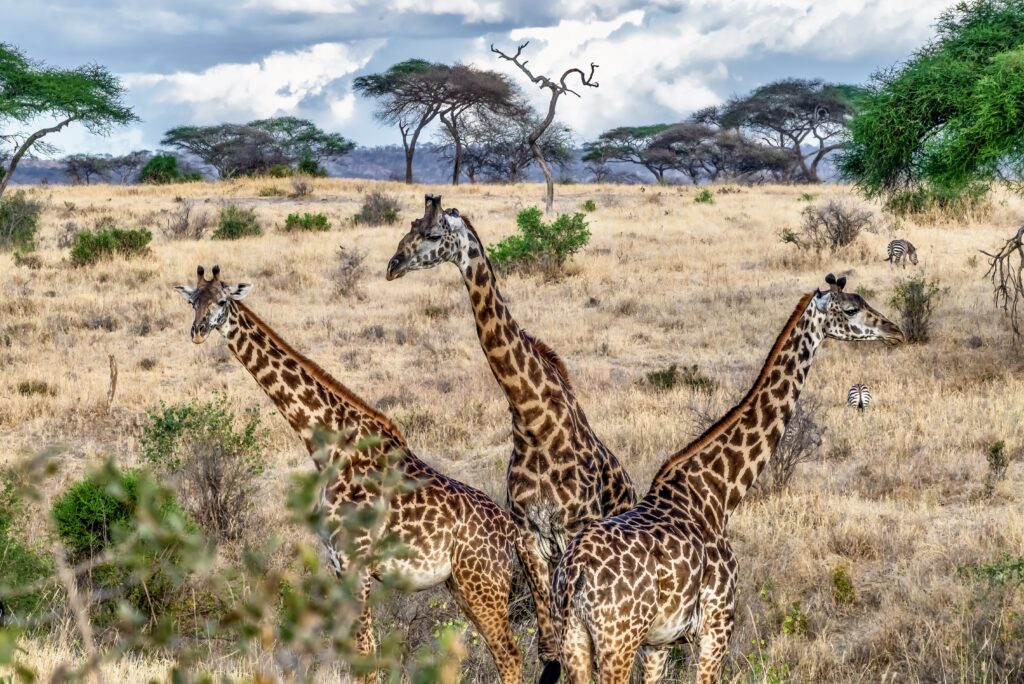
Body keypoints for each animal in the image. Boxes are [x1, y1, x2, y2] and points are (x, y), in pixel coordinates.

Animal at [174, 265, 522, 684]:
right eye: (193, 301)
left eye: (223, 301)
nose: (197, 331)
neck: (330, 448)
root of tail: (514, 532)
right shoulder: (338, 565)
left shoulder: (356, 564)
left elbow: (367, 658)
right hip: (461, 585)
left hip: (482, 584)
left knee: (509, 654)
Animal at [386, 195, 637, 682]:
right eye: (407, 228)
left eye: (431, 234)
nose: (393, 265)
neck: (534, 421)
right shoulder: (529, 538)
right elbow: (548, 647)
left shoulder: (571, 533)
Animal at [550, 274, 905, 684]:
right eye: (849, 309)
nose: (895, 332)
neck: (719, 493)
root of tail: (575, 574)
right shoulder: (717, 626)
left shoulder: (659, 643)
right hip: (616, 641)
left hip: (573, 638)